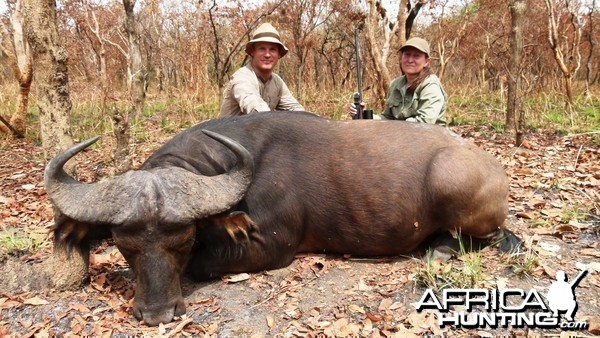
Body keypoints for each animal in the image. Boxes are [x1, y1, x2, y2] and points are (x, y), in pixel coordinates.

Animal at [43, 111, 520, 324]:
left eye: (184, 239)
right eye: (124, 245)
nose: (157, 313)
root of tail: (494, 168)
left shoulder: (272, 247)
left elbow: (203, 263)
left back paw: (440, 250)